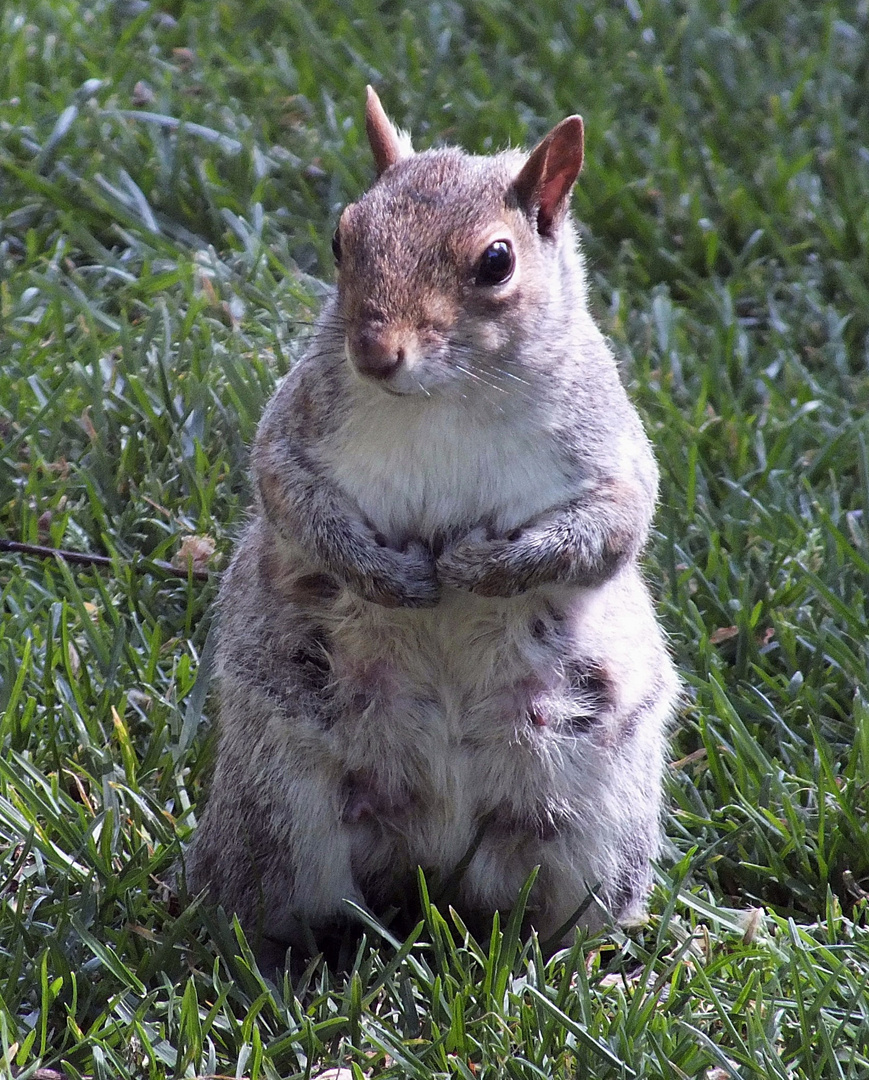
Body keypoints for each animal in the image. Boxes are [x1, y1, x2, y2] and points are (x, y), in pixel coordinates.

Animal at [186, 86, 677, 963]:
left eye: (496, 262)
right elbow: (289, 499)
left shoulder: (609, 453)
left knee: (560, 917)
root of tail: (434, 864)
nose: (374, 351)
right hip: (279, 812)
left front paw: (480, 570)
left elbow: (608, 531)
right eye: (341, 237)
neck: (448, 396)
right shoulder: (296, 425)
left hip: (592, 822)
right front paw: (388, 575)